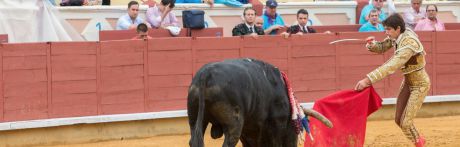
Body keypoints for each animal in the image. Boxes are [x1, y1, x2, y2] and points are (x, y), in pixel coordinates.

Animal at [189, 58, 332, 147]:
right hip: (234, 124)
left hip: (195, 118)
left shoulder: (249, 130)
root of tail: (206, 73)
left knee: (194, 141)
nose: (294, 144)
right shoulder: (277, 124)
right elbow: (275, 144)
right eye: (295, 128)